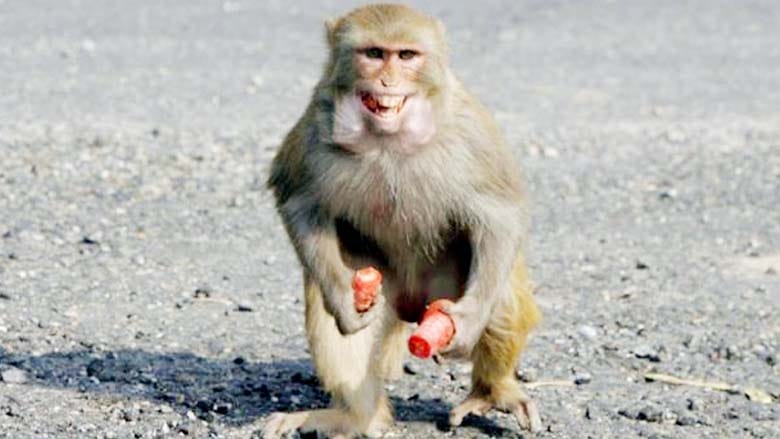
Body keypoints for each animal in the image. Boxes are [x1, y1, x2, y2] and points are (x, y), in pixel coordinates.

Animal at [264, 4, 542, 438]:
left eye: (407, 55)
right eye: (374, 54)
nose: (387, 80)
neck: (388, 136)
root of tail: (413, 306)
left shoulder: (469, 128)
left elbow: (500, 212)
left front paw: (469, 323)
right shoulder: (316, 122)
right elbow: (300, 200)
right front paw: (344, 300)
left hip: (446, 289)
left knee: (499, 290)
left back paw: (492, 390)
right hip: (384, 287)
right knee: (332, 302)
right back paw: (356, 417)